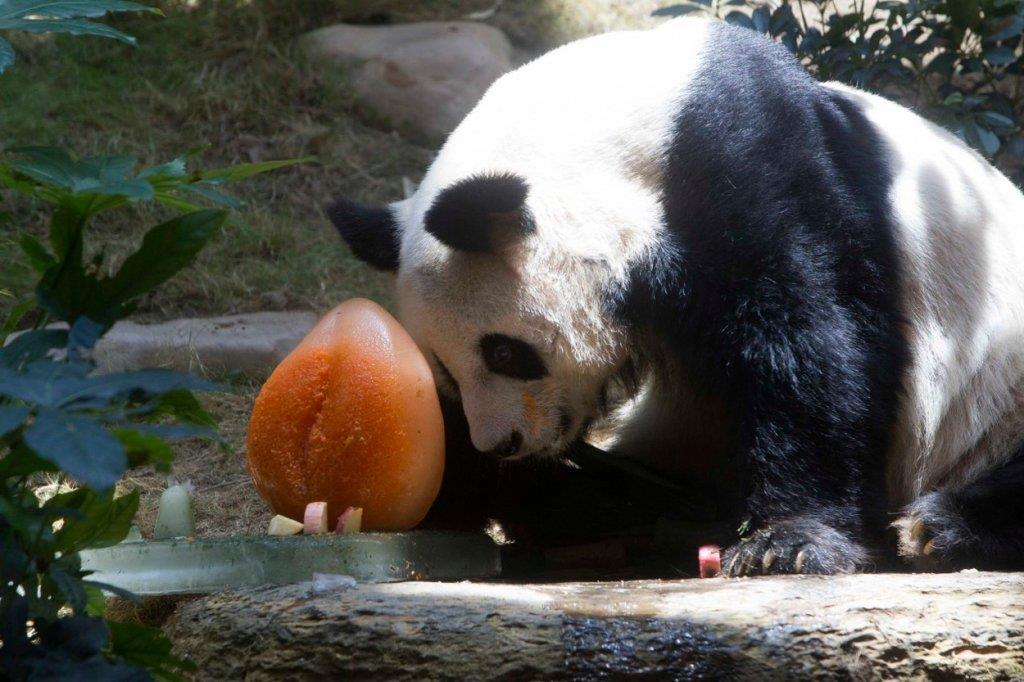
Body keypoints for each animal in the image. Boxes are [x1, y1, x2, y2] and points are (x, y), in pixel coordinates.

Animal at [327, 17, 1024, 575]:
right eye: (445, 368)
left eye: (505, 353)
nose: (500, 444)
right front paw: (454, 489)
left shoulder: (752, 167)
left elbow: (813, 341)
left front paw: (789, 542)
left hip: (995, 387)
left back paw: (940, 527)